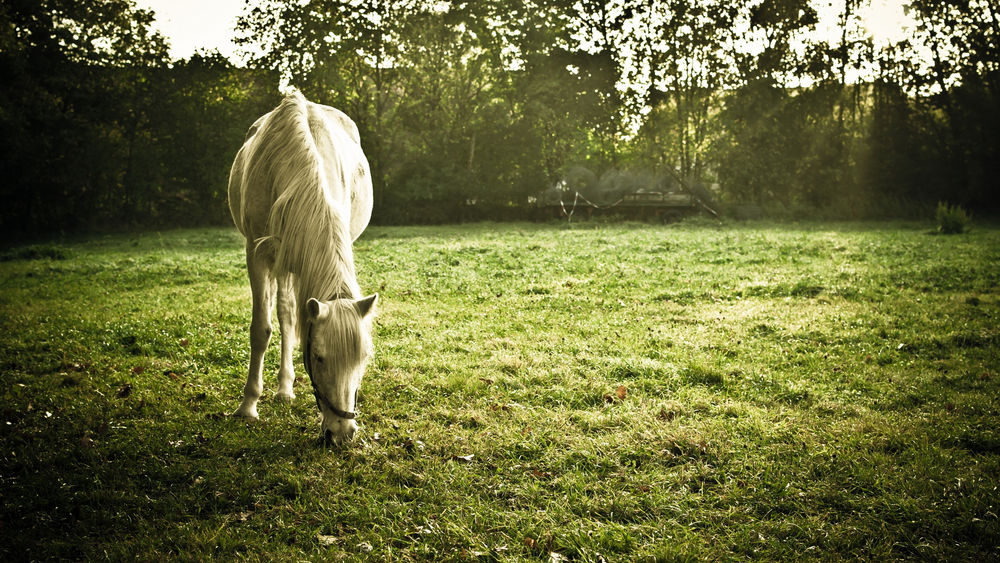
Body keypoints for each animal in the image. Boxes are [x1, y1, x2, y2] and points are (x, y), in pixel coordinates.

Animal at [228, 91, 377, 445]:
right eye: (319, 357)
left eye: (363, 358)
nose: (342, 433)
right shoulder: (257, 256)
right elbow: (261, 329)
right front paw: (248, 405)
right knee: (284, 315)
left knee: (289, 317)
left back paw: (285, 387)